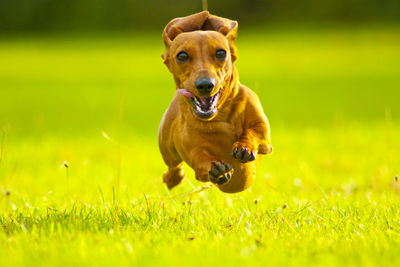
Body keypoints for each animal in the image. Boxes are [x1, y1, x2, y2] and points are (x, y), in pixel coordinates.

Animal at [156, 11, 272, 195]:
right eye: (182, 56)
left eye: (221, 53)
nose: (205, 85)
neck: (220, 118)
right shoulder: (193, 151)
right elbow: (200, 158)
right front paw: (216, 169)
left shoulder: (263, 132)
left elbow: (254, 131)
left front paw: (244, 146)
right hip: (167, 148)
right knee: (174, 167)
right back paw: (172, 178)